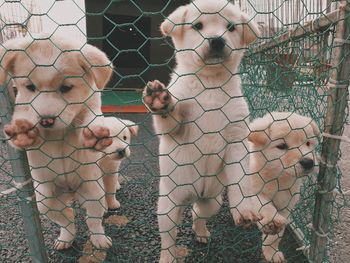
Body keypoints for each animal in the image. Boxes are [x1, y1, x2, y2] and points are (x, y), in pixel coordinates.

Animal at [142, 1, 260, 262]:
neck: (210, 84)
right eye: (198, 26)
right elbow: (170, 119)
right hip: (167, 207)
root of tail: (194, 194)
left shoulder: (237, 139)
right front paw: (160, 101)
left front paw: (244, 209)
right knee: (169, 237)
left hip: (212, 200)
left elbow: (240, 181)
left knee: (198, 214)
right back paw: (168, 256)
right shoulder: (178, 130)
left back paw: (202, 233)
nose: (217, 40)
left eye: (230, 27)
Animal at [249, 112, 320, 263]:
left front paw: (271, 253)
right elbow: (263, 204)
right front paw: (272, 220)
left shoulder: (287, 206)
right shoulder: (250, 189)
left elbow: (276, 237)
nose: (308, 162)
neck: (279, 178)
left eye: (308, 143)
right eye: (281, 146)